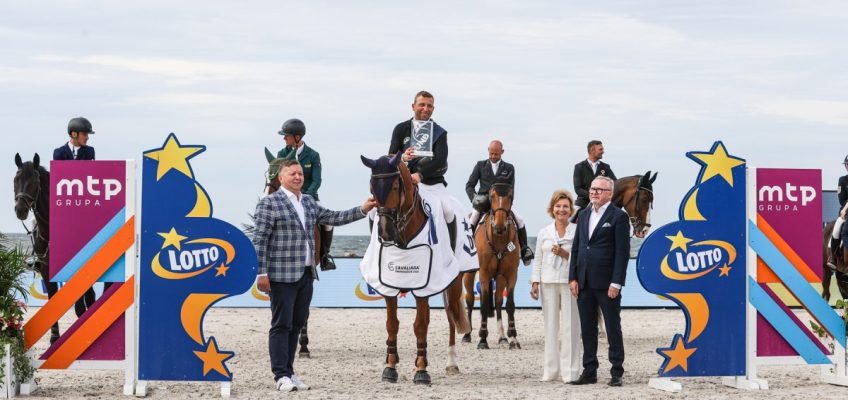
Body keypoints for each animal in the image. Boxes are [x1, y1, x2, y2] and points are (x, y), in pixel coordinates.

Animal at [13, 153, 97, 344]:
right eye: (16, 179)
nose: (20, 210)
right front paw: (54, 337)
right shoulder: (46, 268)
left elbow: (80, 303)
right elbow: (53, 299)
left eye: (35, 181)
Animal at [362, 152, 474, 384]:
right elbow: (392, 324)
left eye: (396, 186)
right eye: (372, 188)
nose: (385, 233)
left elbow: (420, 325)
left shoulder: (425, 286)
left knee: (451, 317)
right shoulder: (388, 285)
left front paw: (421, 370)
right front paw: (390, 366)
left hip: (453, 282)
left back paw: (451, 363)